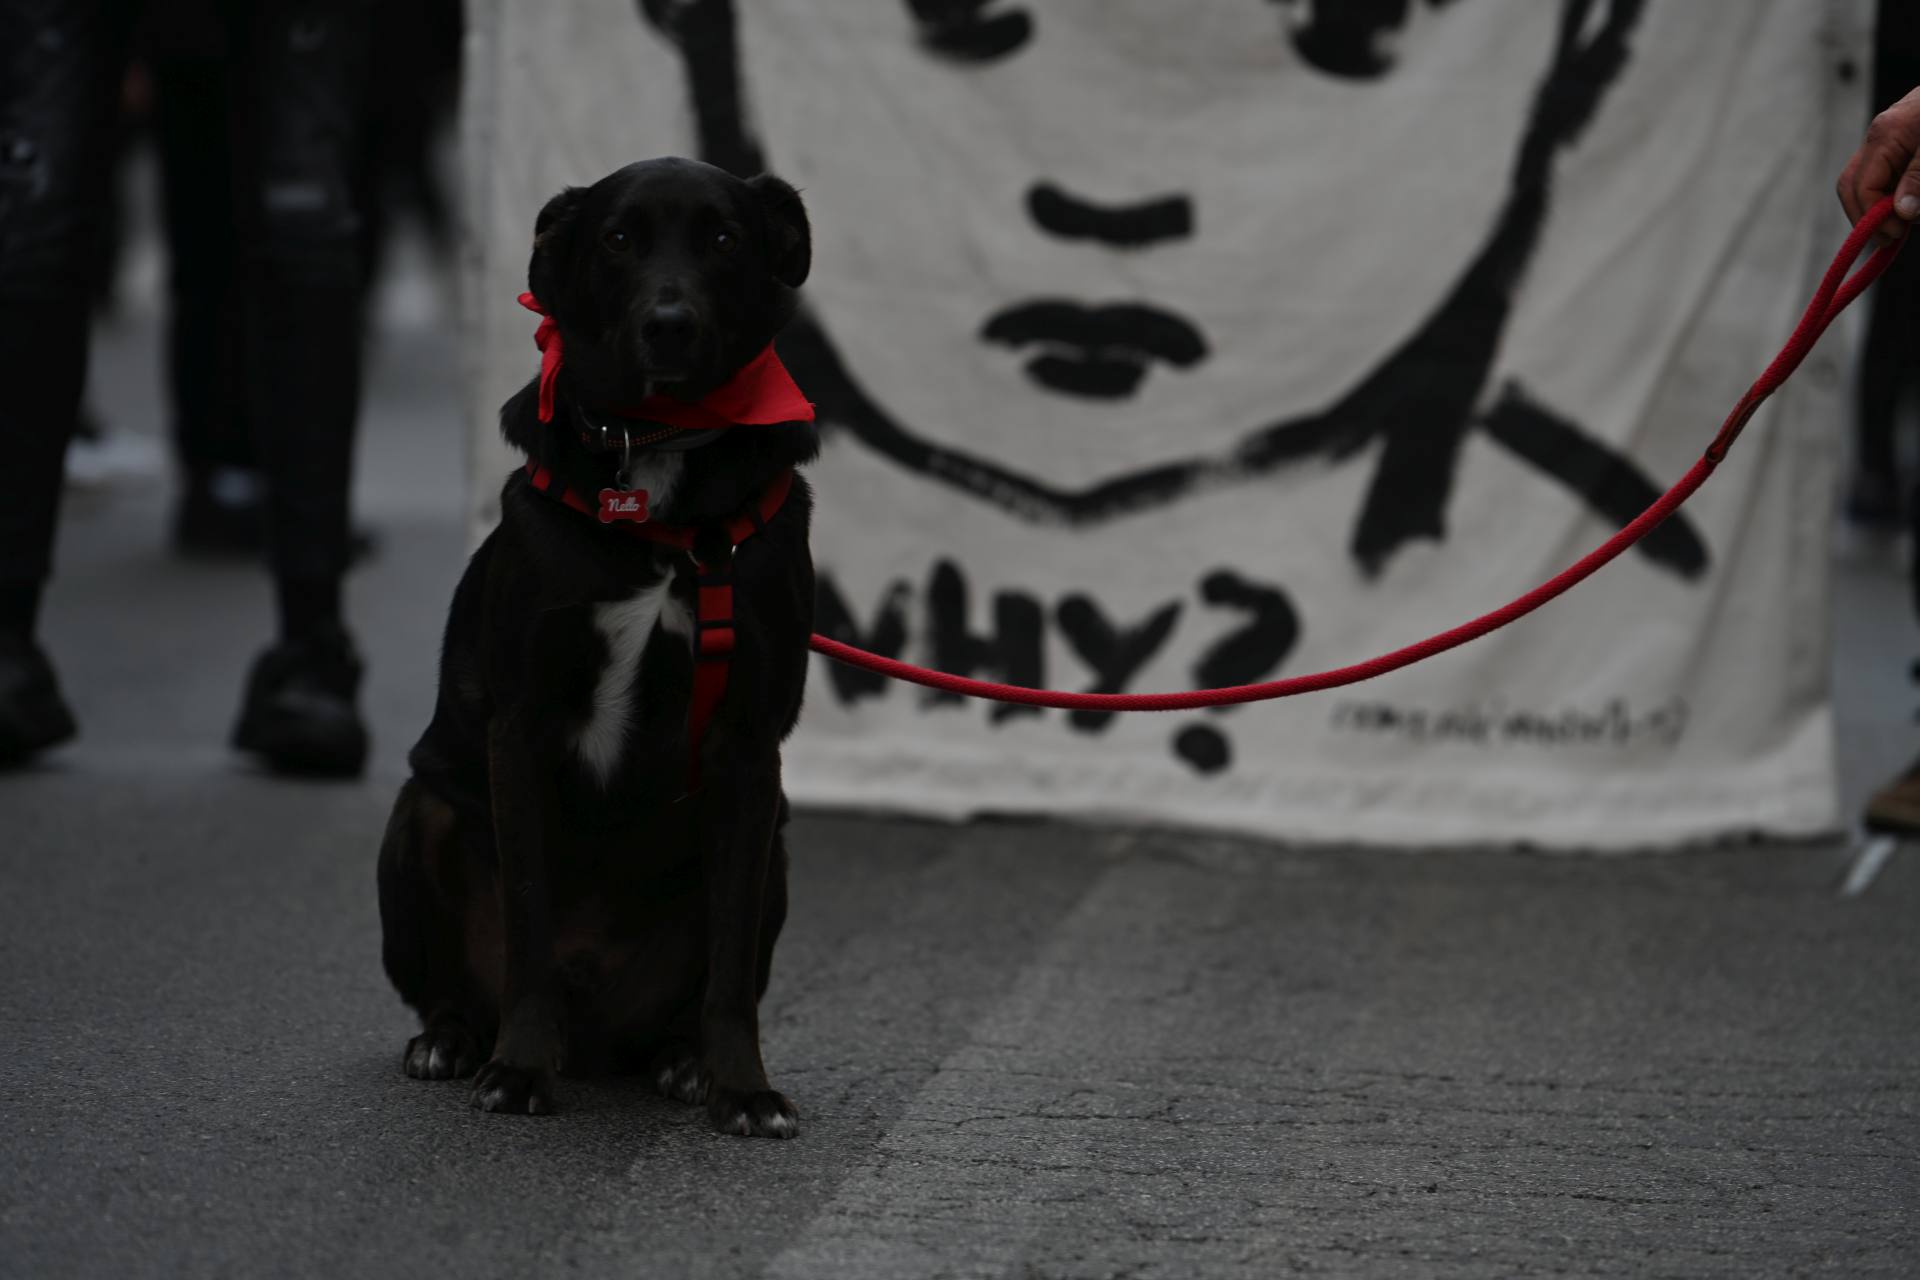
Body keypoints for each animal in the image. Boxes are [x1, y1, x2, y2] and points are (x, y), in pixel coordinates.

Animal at [376, 155, 817, 1136]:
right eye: (618, 239)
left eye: (723, 238)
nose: (669, 325)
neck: (652, 461)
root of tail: (597, 1032)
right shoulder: (521, 729)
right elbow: (529, 923)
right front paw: (517, 1071)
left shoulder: (748, 751)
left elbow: (732, 969)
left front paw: (742, 1087)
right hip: (420, 814)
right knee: (455, 989)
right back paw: (455, 1043)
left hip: (775, 846)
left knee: (698, 993)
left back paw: (683, 1060)